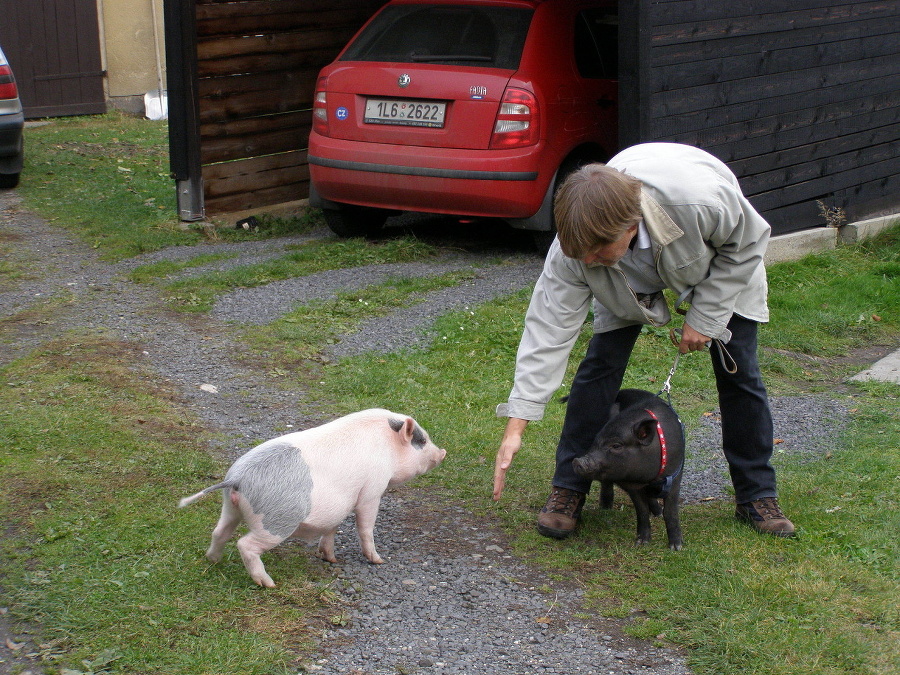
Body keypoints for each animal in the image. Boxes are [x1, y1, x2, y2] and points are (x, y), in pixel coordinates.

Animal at [178, 410, 444, 588]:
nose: (443, 452)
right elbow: (365, 526)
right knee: (245, 545)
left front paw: (330, 558)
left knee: (219, 532)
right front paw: (378, 561)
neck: (388, 445)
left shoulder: (338, 507)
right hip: (276, 522)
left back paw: (214, 561)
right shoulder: (371, 490)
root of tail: (237, 479)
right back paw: (268, 584)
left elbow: (331, 529)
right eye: (421, 441)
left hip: (230, 508)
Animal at [572, 390, 684, 548]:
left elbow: (670, 510)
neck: (648, 477)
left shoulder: (675, 475)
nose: (578, 461)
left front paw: (676, 547)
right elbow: (641, 510)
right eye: (595, 441)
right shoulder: (633, 485)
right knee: (607, 485)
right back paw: (605, 507)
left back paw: (657, 513)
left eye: (616, 445)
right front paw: (641, 543)